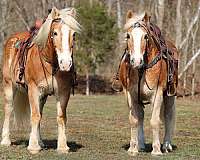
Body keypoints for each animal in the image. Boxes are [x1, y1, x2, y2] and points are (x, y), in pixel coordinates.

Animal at [0, 7, 80, 154]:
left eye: (74, 34)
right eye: (55, 33)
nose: (66, 64)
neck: (51, 63)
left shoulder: (63, 91)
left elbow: (60, 117)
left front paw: (62, 146)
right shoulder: (33, 89)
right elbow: (35, 116)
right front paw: (33, 146)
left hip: (43, 96)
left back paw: (40, 141)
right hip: (9, 85)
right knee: (9, 109)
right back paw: (6, 140)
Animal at [118, 10, 179, 156]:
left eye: (145, 36)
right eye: (128, 36)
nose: (136, 61)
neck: (142, 70)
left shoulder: (157, 94)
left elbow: (155, 121)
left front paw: (156, 150)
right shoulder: (130, 95)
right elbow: (134, 120)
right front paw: (133, 148)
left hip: (170, 96)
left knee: (168, 117)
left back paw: (166, 145)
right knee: (140, 117)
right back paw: (140, 145)